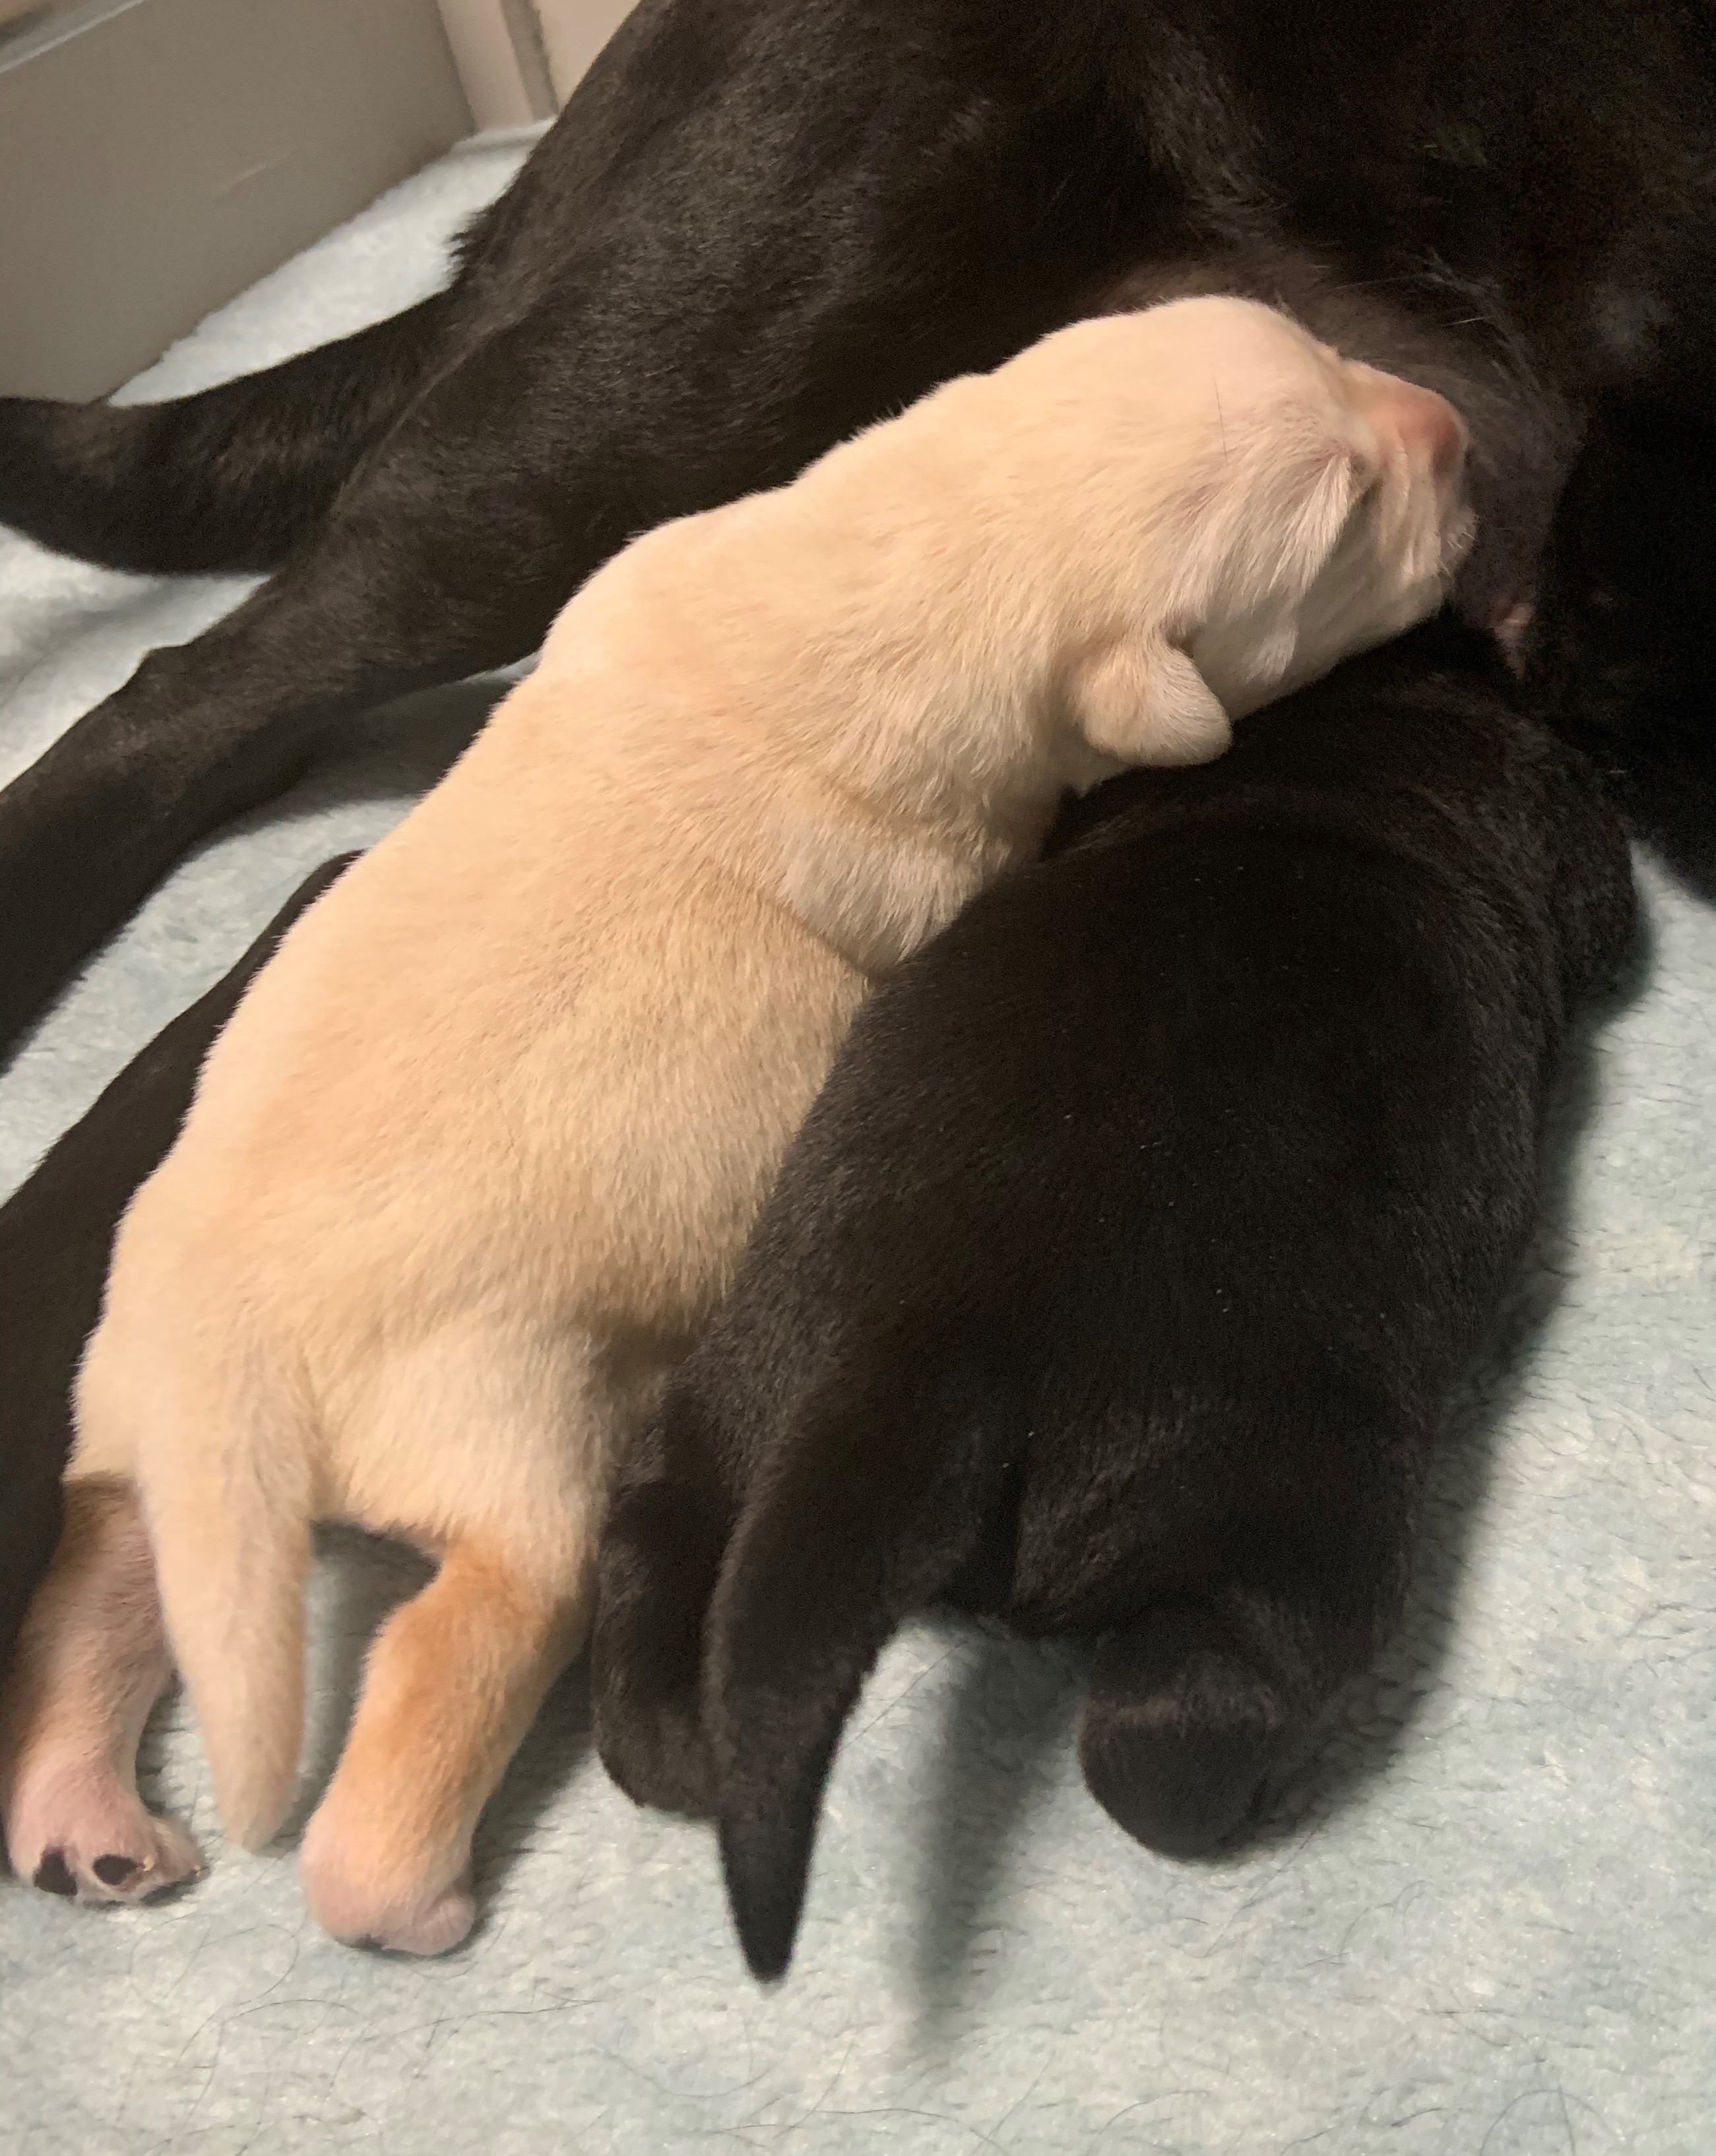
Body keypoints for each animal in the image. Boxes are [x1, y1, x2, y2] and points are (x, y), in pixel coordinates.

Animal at [0, 291, 1475, 1957]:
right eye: (1347, 516)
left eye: (1327, 352)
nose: (1456, 432)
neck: (919, 532)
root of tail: (232, 1366)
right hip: (503, 1449)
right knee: (464, 1636)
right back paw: (411, 1896)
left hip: (146, 1429)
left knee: (107, 1578)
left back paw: (84, 1816)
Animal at [590, 616, 1638, 1975]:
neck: (1317, 755)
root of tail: (931, 1354)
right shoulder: (1562, 826)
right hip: (1283, 1505)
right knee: (1183, 1719)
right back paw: (1246, 1793)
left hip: (739, 1381)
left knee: (657, 1525)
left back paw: (680, 1728)